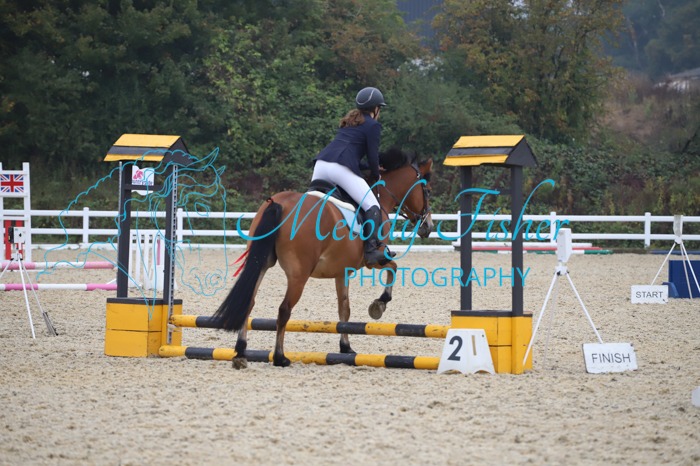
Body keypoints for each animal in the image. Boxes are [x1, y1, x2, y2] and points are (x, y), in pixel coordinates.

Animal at [213, 149, 434, 368]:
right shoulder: (373, 261)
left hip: (261, 263)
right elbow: (393, 268)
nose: (428, 227)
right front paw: (379, 304)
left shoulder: (342, 270)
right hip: (299, 274)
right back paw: (279, 357)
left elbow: (344, 309)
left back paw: (241, 351)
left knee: (249, 302)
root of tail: (279, 203)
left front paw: (346, 347)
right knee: (284, 310)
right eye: (428, 191)